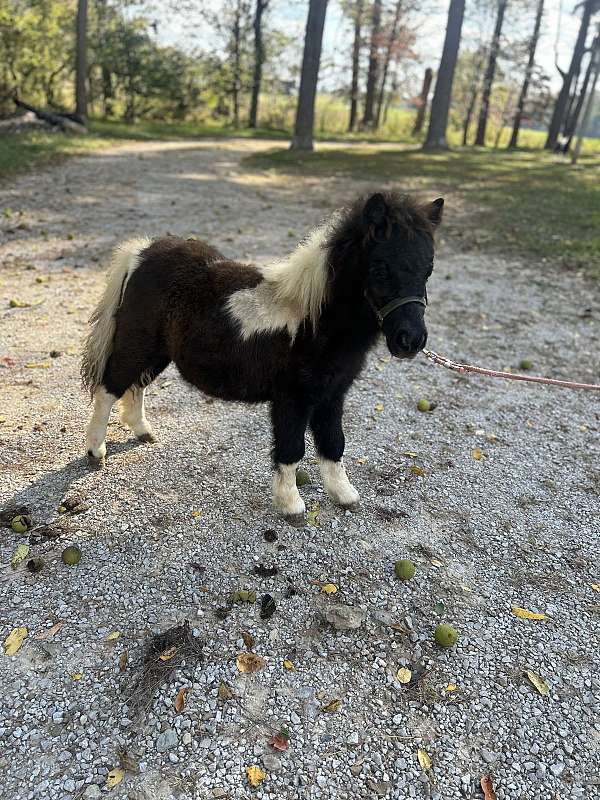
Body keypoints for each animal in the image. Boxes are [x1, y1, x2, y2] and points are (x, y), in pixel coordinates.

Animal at [81, 191, 443, 516]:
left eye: (428, 269)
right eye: (380, 268)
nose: (410, 340)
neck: (313, 320)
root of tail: (142, 251)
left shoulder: (332, 394)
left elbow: (333, 442)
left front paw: (343, 494)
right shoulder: (292, 398)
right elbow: (291, 448)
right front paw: (291, 505)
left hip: (158, 351)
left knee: (136, 384)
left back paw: (142, 431)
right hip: (137, 341)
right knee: (110, 387)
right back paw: (96, 450)